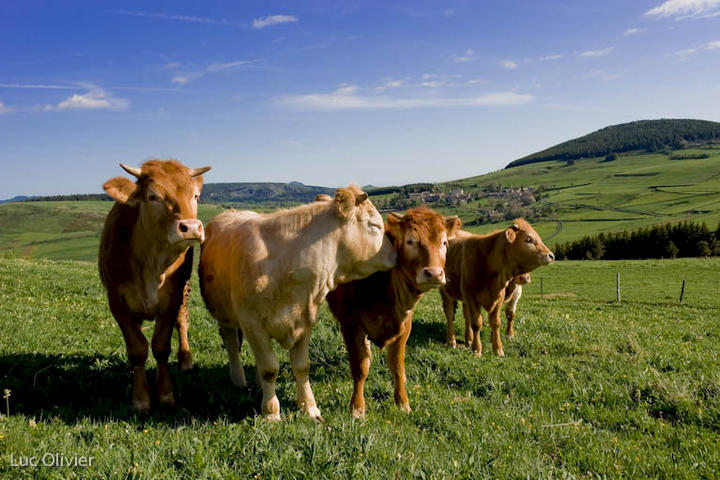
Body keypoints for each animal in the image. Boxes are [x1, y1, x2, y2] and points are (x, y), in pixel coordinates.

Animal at [97, 158, 208, 412]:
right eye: (153, 196)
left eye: (195, 196)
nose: (191, 227)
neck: (152, 262)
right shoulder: (116, 301)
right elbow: (137, 348)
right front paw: (141, 398)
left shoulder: (172, 299)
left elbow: (161, 346)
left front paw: (166, 393)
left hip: (185, 290)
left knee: (182, 321)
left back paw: (186, 359)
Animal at [200, 187, 396, 420]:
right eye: (374, 225)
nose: (396, 253)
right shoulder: (252, 323)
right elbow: (270, 368)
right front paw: (271, 412)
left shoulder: (305, 320)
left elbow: (301, 367)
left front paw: (309, 408)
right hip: (225, 316)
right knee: (231, 344)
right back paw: (239, 380)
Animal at [328, 206, 462, 416]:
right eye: (410, 241)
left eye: (444, 242)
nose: (433, 273)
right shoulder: (351, 324)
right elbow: (360, 366)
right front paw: (357, 407)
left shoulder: (404, 326)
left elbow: (397, 366)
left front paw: (402, 403)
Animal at [438, 219, 552, 358]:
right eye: (529, 239)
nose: (551, 255)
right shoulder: (471, 296)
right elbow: (476, 323)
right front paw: (476, 349)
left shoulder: (498, 298)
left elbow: (496, 322)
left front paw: (498, 349)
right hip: (445, 292)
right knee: (449, 315)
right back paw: (451, 342)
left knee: (466, 316)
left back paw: (468, 339)